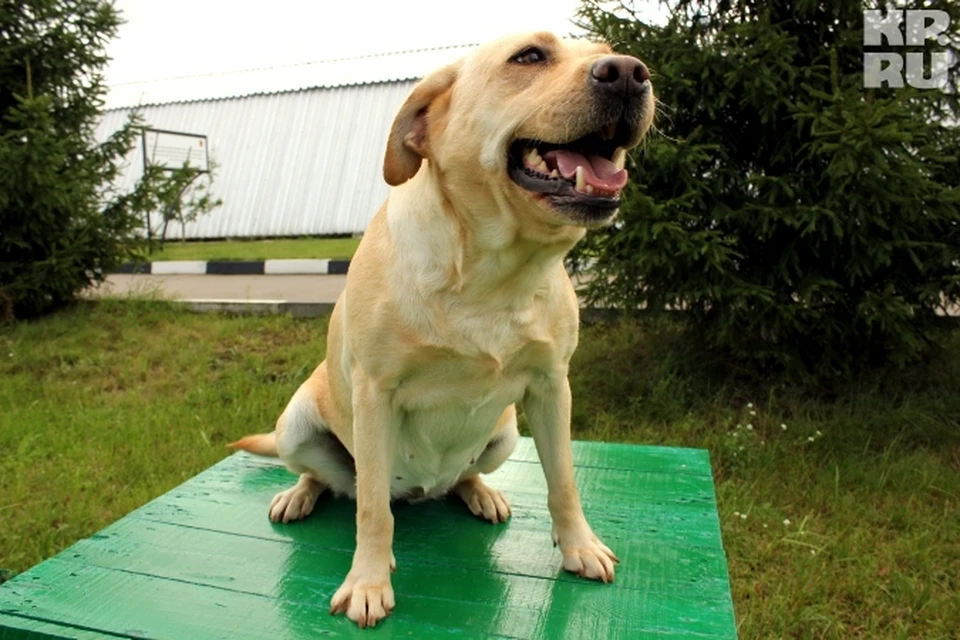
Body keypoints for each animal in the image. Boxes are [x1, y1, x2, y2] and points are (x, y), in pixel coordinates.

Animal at [230, 32, 656, 628]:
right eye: (530, 56)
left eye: (607, 49)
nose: (630, 74)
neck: (491, 276)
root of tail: (420, 492)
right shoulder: (374, 393)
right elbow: (371, 510)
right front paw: (368, 582)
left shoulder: (552, 386)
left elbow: (564, 481)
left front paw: (579, 547)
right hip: (297, 424)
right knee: (335, 481)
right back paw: (301, 493)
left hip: (506, 433)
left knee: (460, 474)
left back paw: (477, 492)